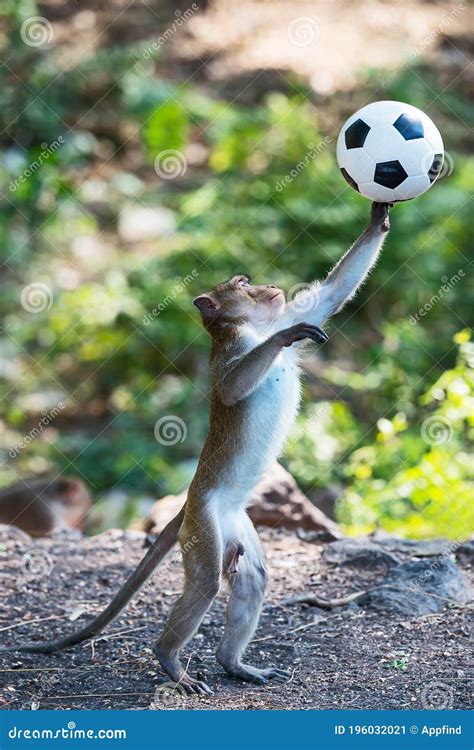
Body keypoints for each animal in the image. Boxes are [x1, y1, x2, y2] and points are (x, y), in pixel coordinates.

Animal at [0, 203, 392, 696]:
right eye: (243, 284)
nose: (267, 286)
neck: (251, 328)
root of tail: (189, 503)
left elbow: (334, 293)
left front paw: (379, 215)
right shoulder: (229, 354)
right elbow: (232, 387)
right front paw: (280, 343)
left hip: (233, 525)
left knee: (252, 578)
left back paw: (233, 662)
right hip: (204, 526)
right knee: (205, 582)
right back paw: (169, 659)